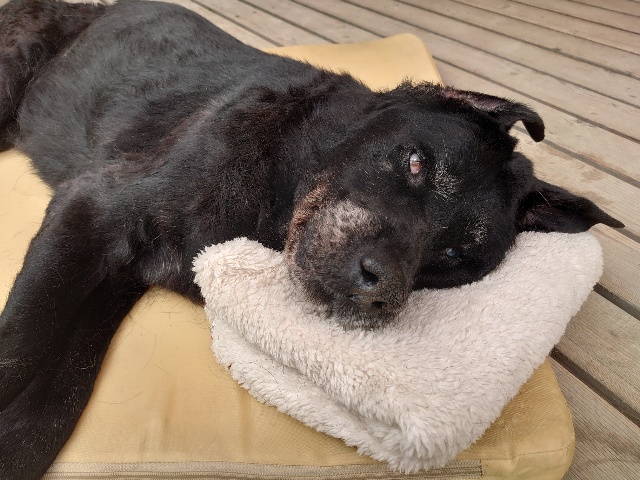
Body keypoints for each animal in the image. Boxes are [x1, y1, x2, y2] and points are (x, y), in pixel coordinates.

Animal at [0, 0, 623, 477]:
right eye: (416, 163)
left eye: (452, 256)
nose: (380, 290)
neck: (284, 179)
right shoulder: (92, 207)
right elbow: (19, 350)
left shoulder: (111, 286)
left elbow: (49, 409)